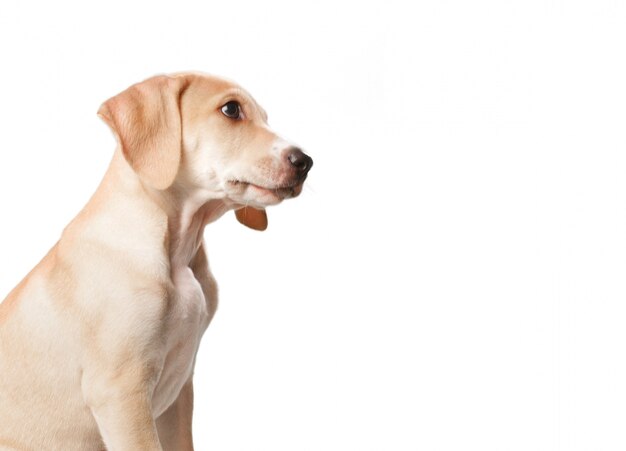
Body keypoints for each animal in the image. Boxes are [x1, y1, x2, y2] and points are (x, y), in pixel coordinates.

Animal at [0, 72, 312, 450]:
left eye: (266, 117)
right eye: (231, 109)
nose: (305, 162)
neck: (178, 252)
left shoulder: (179, 393)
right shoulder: (120, 393)